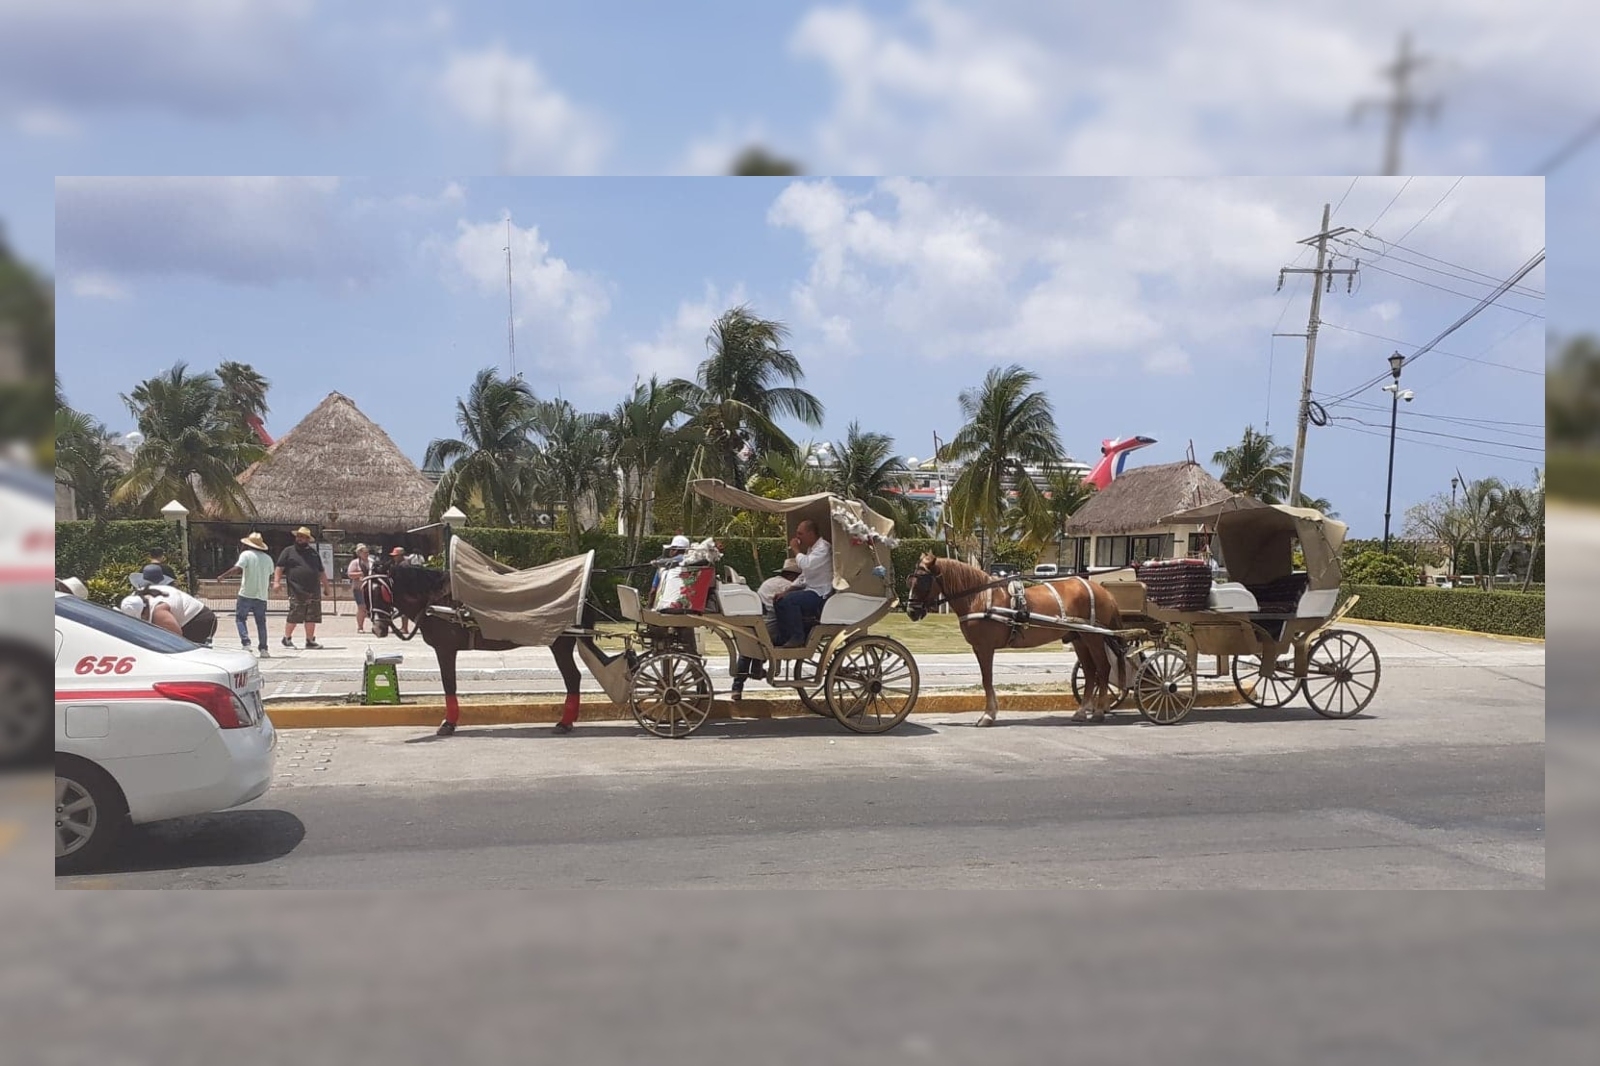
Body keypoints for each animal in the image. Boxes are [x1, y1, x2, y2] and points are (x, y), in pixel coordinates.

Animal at [366, 560, 611, 736]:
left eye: (381, 591)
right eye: (364, 590)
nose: (378, 628)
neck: (438, 601)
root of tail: (583, 596)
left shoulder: (445, 649)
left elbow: (449, 684)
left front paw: (448, 723)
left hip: (560, 645)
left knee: (572, 678)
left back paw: (565, 722)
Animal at [908, 550, 1132, 726]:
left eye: (922, 581)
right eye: (911, 579)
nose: (911, 611)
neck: (979, 598)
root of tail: (1102, 590)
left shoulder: (985, 647)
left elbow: (987, 679)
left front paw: (988, 715)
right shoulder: (978, 648)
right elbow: (986, 679)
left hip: (1093, 637)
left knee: (1103, 669)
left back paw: (1099, 712)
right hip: (1079, 638)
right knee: (1090, 671)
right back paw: (1082, 711)